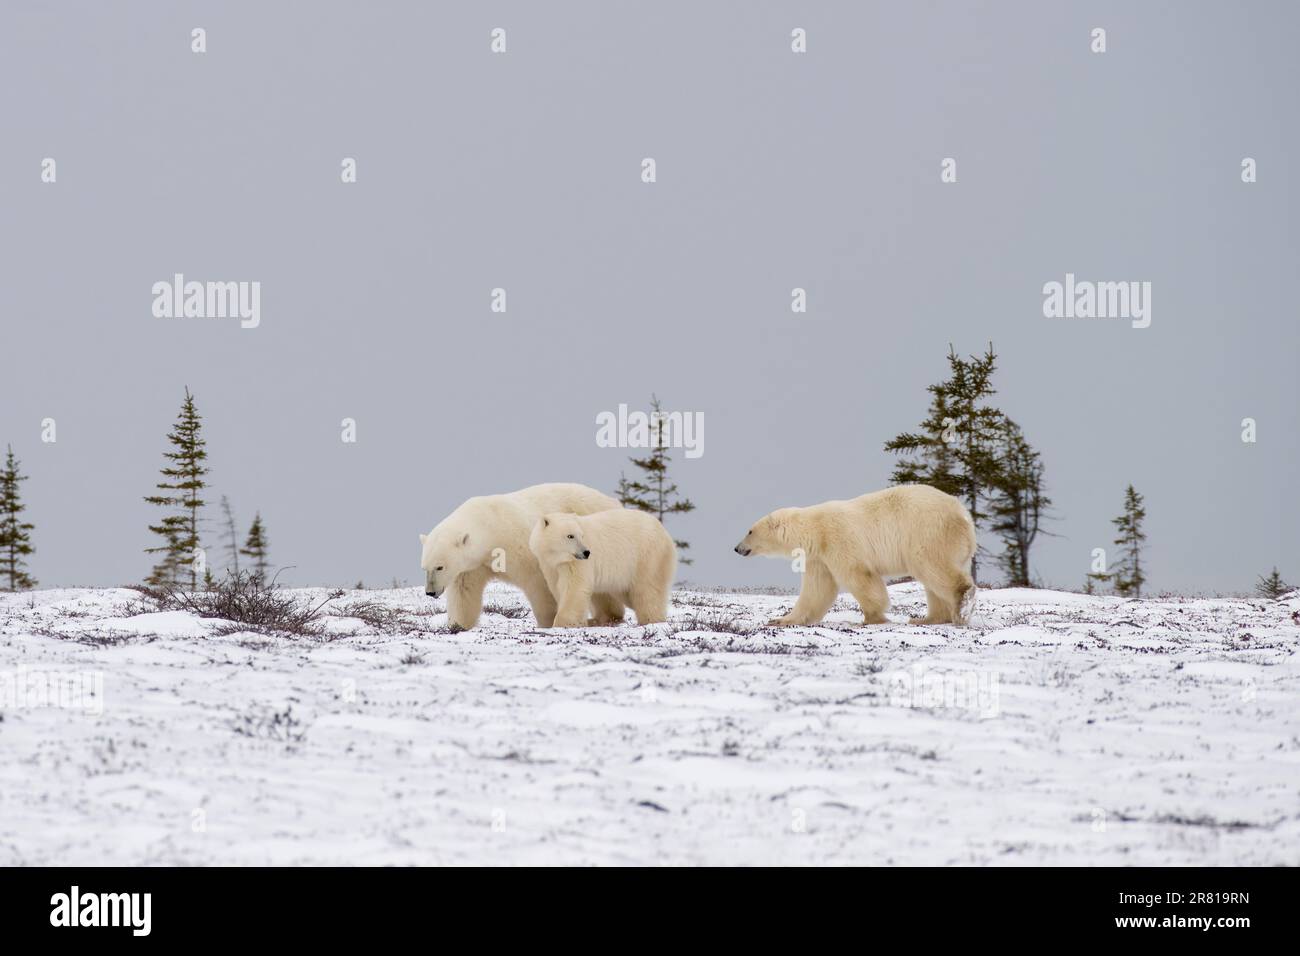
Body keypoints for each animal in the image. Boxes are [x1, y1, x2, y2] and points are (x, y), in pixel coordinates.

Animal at [420, 482, 624, 630]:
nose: (430, 592)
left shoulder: (520, 547)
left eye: (440, 566)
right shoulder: (473, 565)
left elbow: (539, 584)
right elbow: (464, 592)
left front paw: (547, 622)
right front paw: (457, 624)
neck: (489, 527)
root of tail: (614, 501)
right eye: (425, 568)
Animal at [528, 509, 677, 627]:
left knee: (647, 591)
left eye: (581, 535)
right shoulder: (550, 565)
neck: (558, 557)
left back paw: (651, 620)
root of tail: (665, 533)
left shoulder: (576, 564)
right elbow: (558, 587)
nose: (586, 552)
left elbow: (574, 588)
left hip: (647, 556)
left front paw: (562, 624)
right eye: (570, 536)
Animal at [733, 484, 977, 626]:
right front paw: (780, 619)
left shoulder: (837, 539)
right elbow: (817, 590)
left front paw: (870, 618)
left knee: (931, 566)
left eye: (749, 531)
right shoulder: (818, 557)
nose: (737, 548)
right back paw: (927, 618)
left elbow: (859, 575)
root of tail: (964, 515)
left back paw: (961, 602)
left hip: (927, 531)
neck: (814, 529)